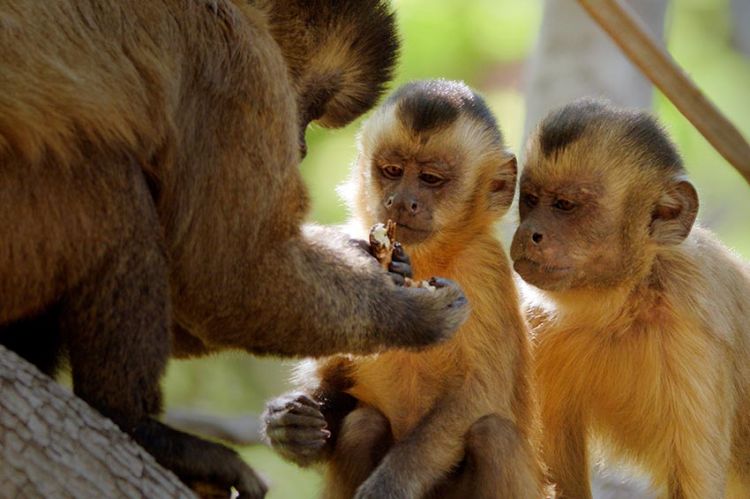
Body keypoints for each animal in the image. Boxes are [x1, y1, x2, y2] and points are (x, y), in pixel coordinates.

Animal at [262, 80, 544, 499]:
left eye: (430, 179)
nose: (402, 202)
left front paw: (387, 486)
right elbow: (336, 378)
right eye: (392, 171)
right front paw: (291, 429)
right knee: (363, 425)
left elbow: (477, 395)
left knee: (493, 436)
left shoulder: (485, 269)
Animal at [512, 98, 750, 499]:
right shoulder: (536, 325)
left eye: (564, 205)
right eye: (529, 200)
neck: (625, 306)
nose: (529, 232)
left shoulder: (692, 327)